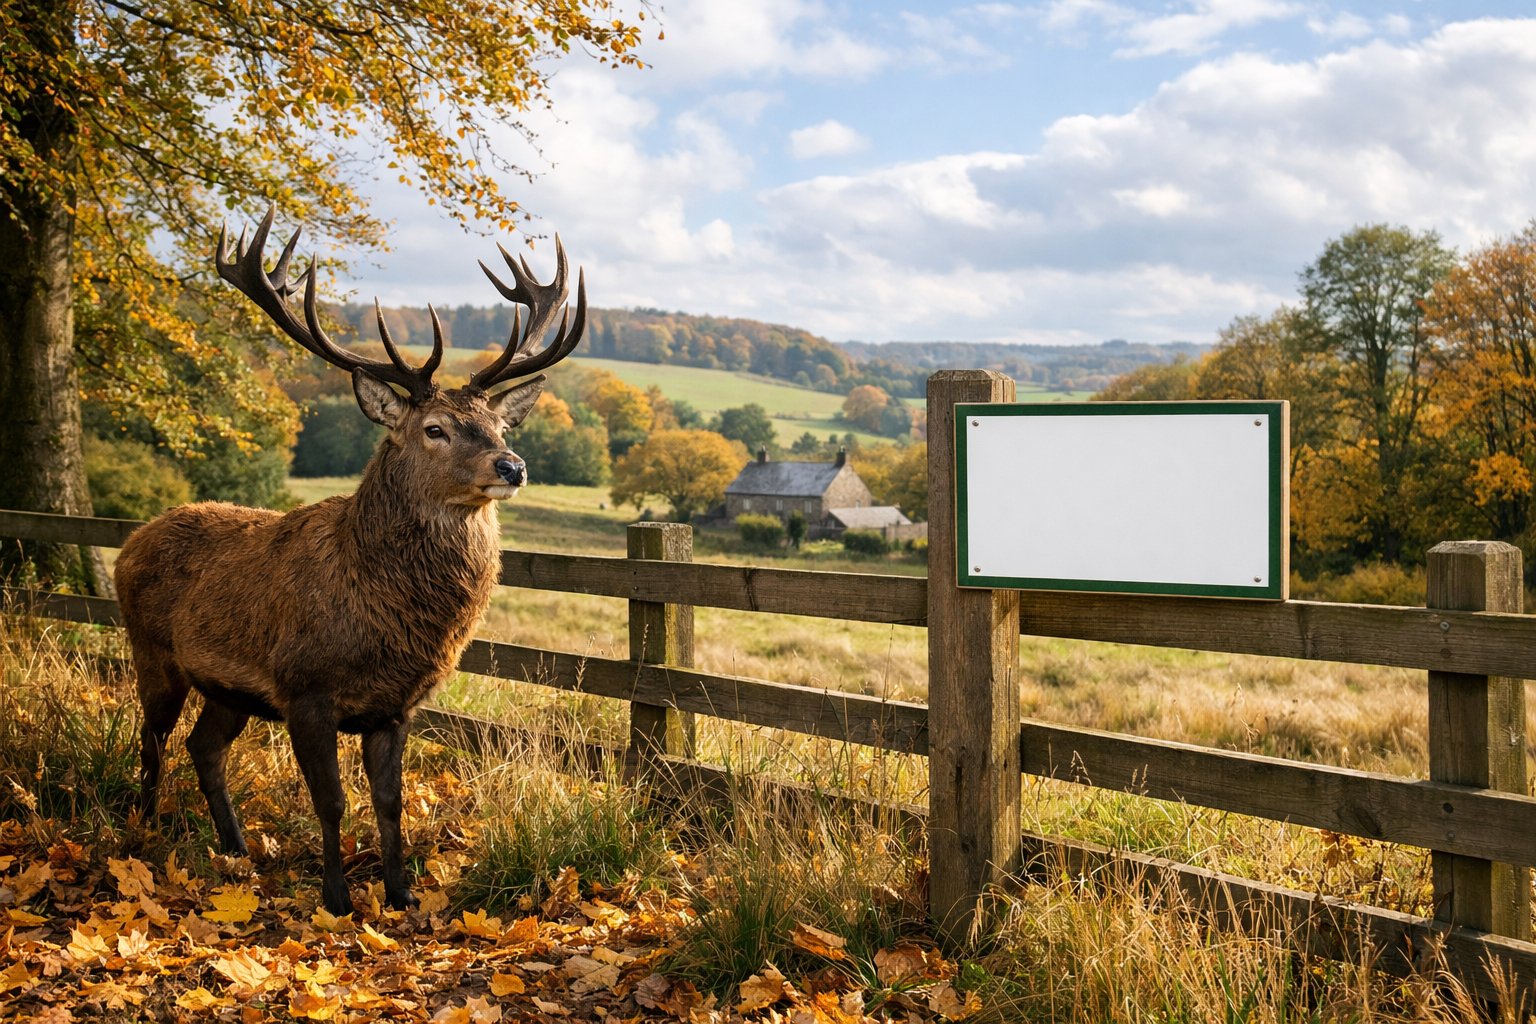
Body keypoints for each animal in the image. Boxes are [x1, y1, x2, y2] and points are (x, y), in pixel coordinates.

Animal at [114, 206, 585, 915]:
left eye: (501, 427)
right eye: (434, 429)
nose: (512, 465)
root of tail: (130, 541)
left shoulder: (396, 706)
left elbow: (390, 803)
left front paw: (400, 894)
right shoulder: (306, 689)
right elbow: (331, 801)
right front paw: (336, 898)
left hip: (229, 688)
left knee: (203, 746)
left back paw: (237, 850)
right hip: (153, 652)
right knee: (153, 740)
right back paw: (141, 834)